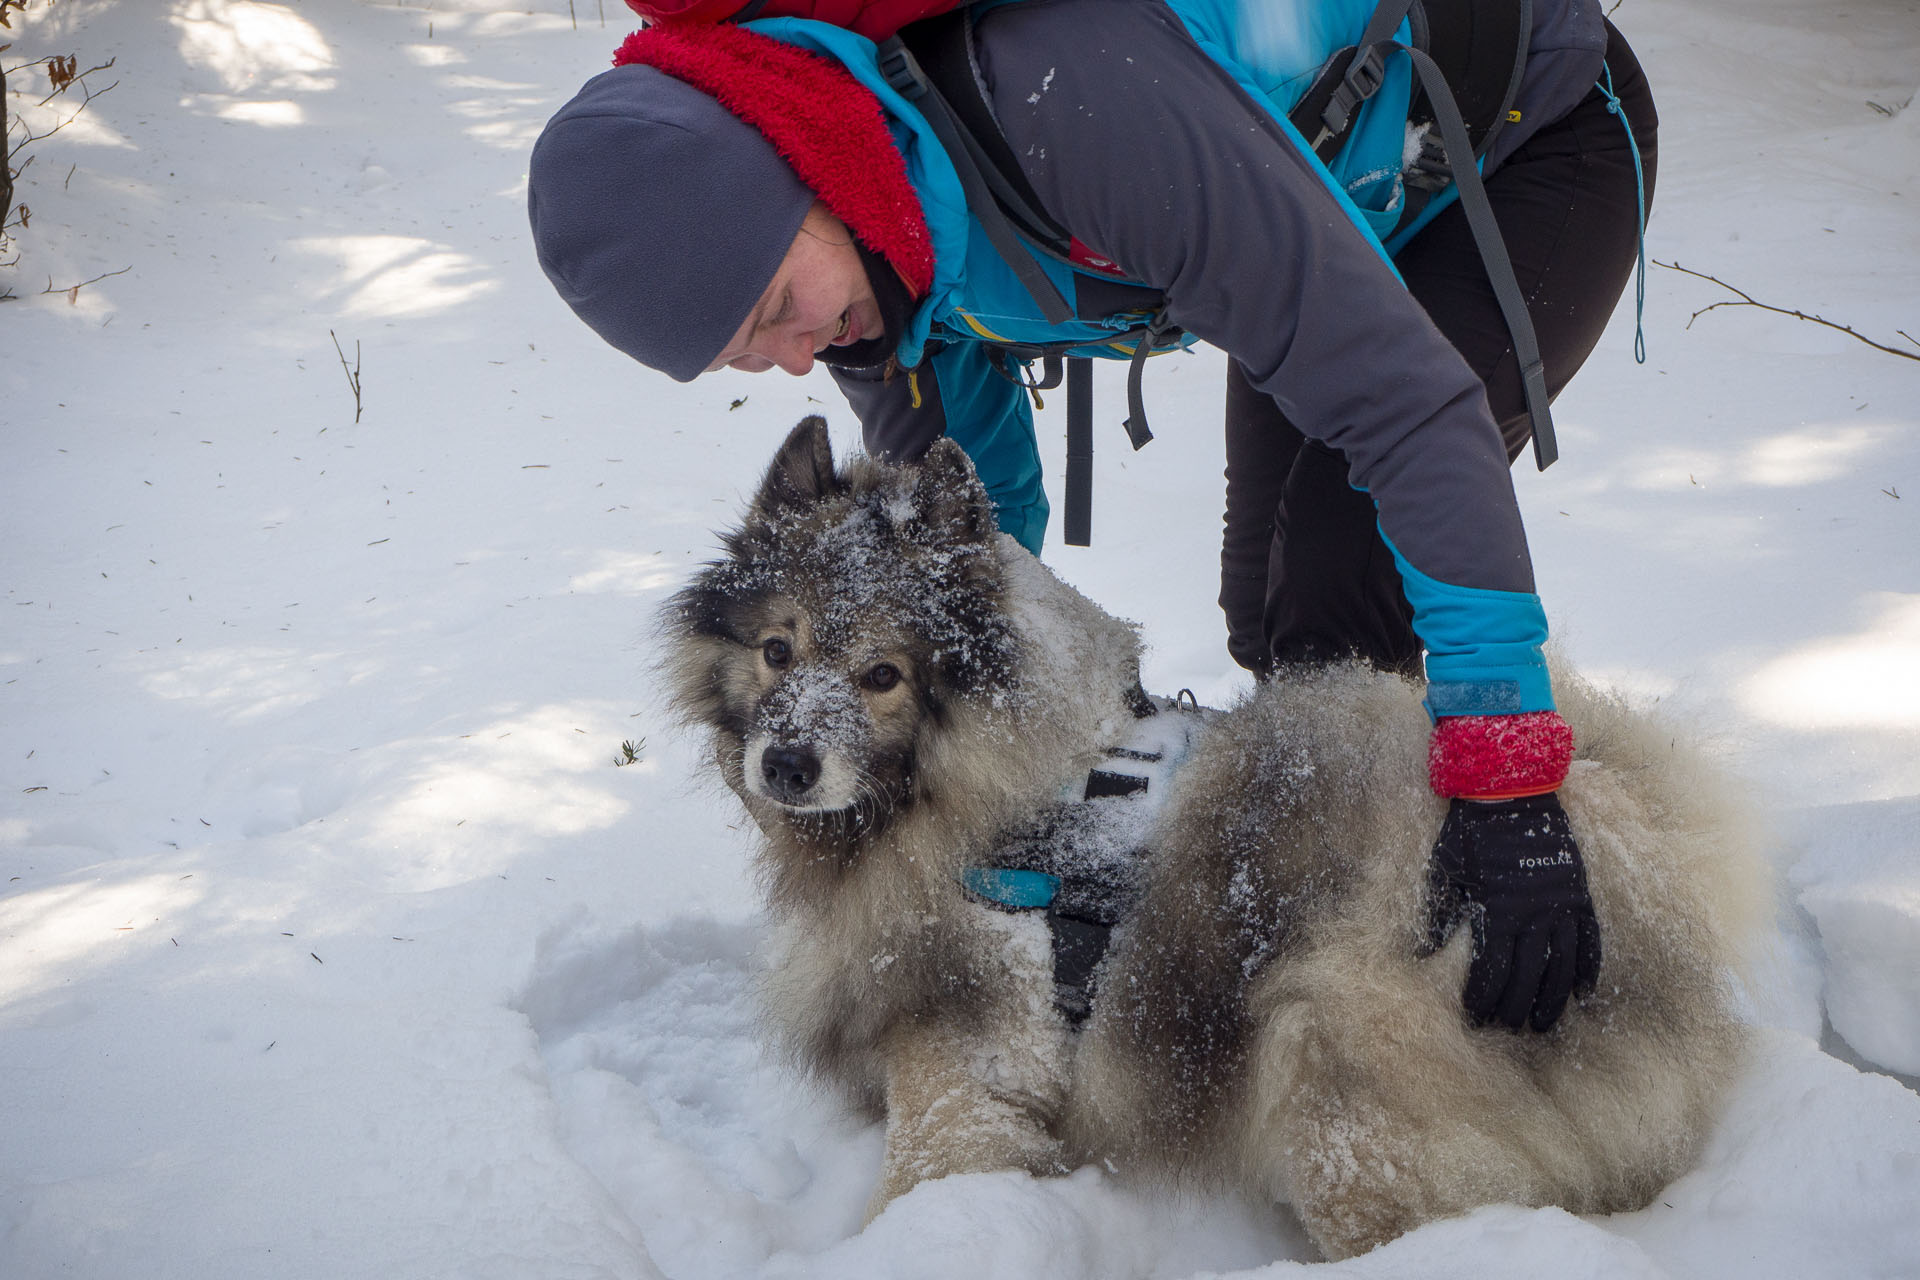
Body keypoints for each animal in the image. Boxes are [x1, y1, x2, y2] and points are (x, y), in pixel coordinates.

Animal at [664, 420, 1766, 1258]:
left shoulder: (969, 1067)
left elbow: (927, 1178)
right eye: (777, 649)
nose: (787, 764)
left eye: (884, 675)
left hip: (1337, 1056)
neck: (982, 791)